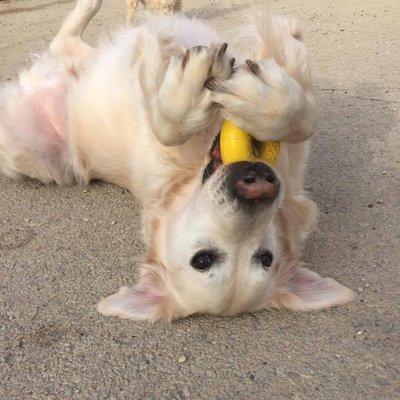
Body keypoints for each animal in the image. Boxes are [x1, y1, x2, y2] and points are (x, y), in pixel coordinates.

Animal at [0, 0, 354, 324]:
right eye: (203, 260)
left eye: (265, 258)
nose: (258, 186)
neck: (196, 165)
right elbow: (168, 126)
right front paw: (190, 90)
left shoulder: (292, 165)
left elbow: (301, 119)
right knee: (65, 38)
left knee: (66, 40)